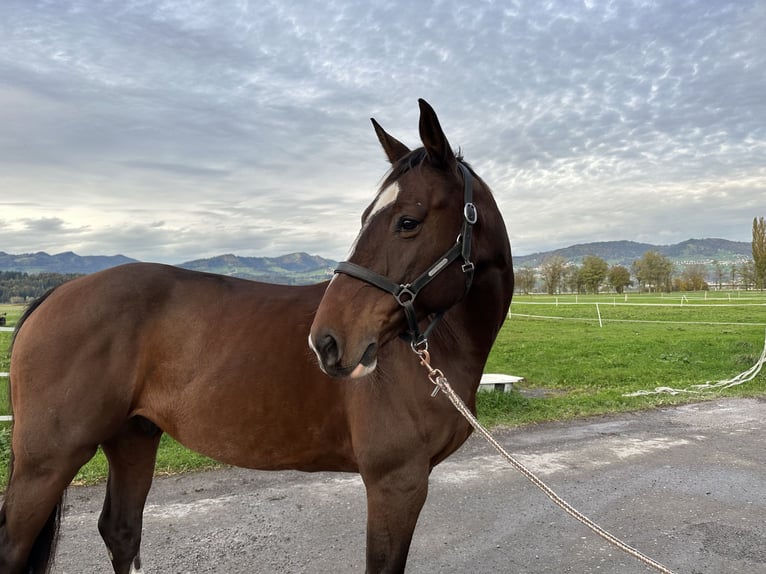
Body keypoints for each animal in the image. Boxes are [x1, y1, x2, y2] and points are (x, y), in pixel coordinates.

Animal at [3, 100, 516, 574]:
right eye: (366, 217)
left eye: (408, 220)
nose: (326, 342)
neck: (438, 348)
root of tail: (58, 292)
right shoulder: (396, 484)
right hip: (47, 461)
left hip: (133, 437)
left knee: (122, 531)